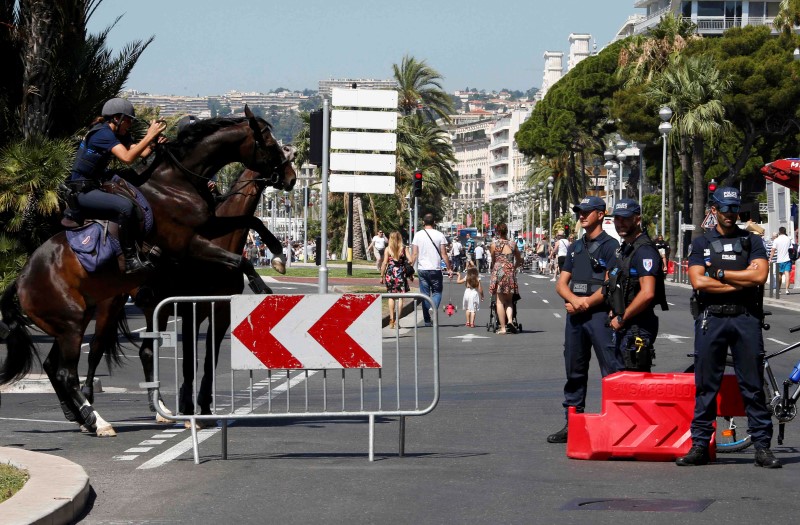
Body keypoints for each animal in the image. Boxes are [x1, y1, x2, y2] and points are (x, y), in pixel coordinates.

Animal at [0, 105, 296, 434]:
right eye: (268, 142)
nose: (291, 177)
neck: (176, 184)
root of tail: (21, 279)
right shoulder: (190, 247)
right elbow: (240, 260)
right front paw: (263, 284)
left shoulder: (212, 259)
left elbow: (252, 221)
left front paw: (278, 253)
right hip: (84, 319)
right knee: (74, 367)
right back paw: (97, 420)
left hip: (71, 323)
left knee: (57, 366)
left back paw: (84, 415)